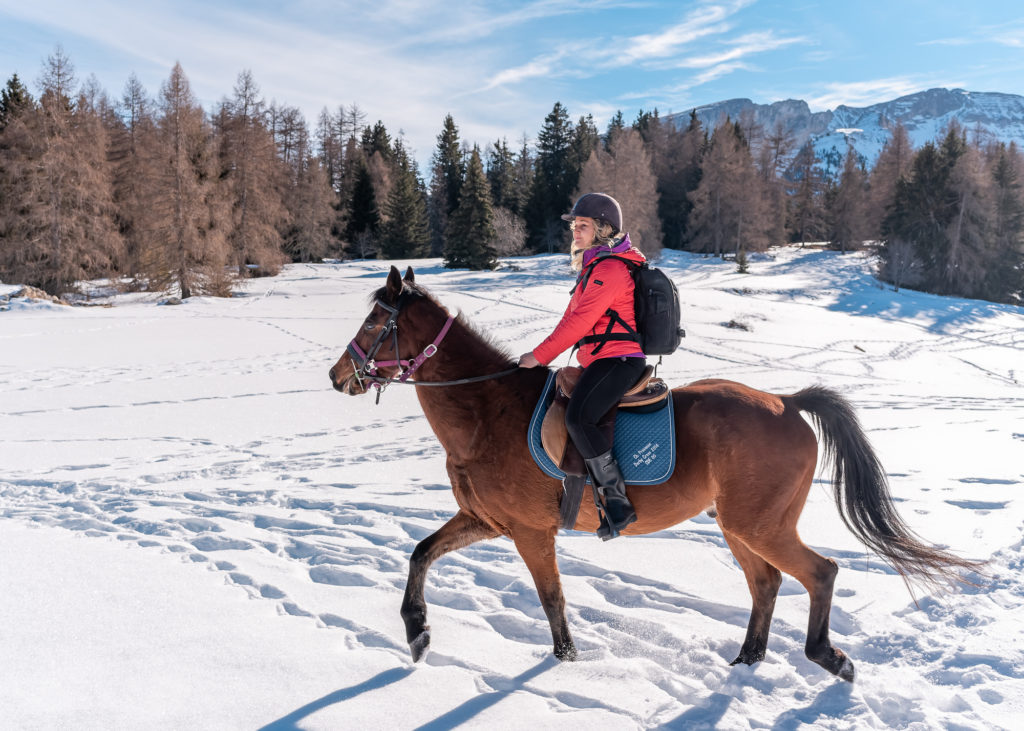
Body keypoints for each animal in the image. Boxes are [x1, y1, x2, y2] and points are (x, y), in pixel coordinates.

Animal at [327, 266, 974, 683]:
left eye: (373, 325)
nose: (338, 377)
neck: (486, 412)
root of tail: (786, 403)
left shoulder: (531, 533)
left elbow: (551, 598)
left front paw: (566, 664)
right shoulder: (484, 520)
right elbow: (421, 553)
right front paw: (416, 632)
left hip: (758, 524)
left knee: (819, 572)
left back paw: (828, 657)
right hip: (740, 525)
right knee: (766, 584)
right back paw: (748, 661)